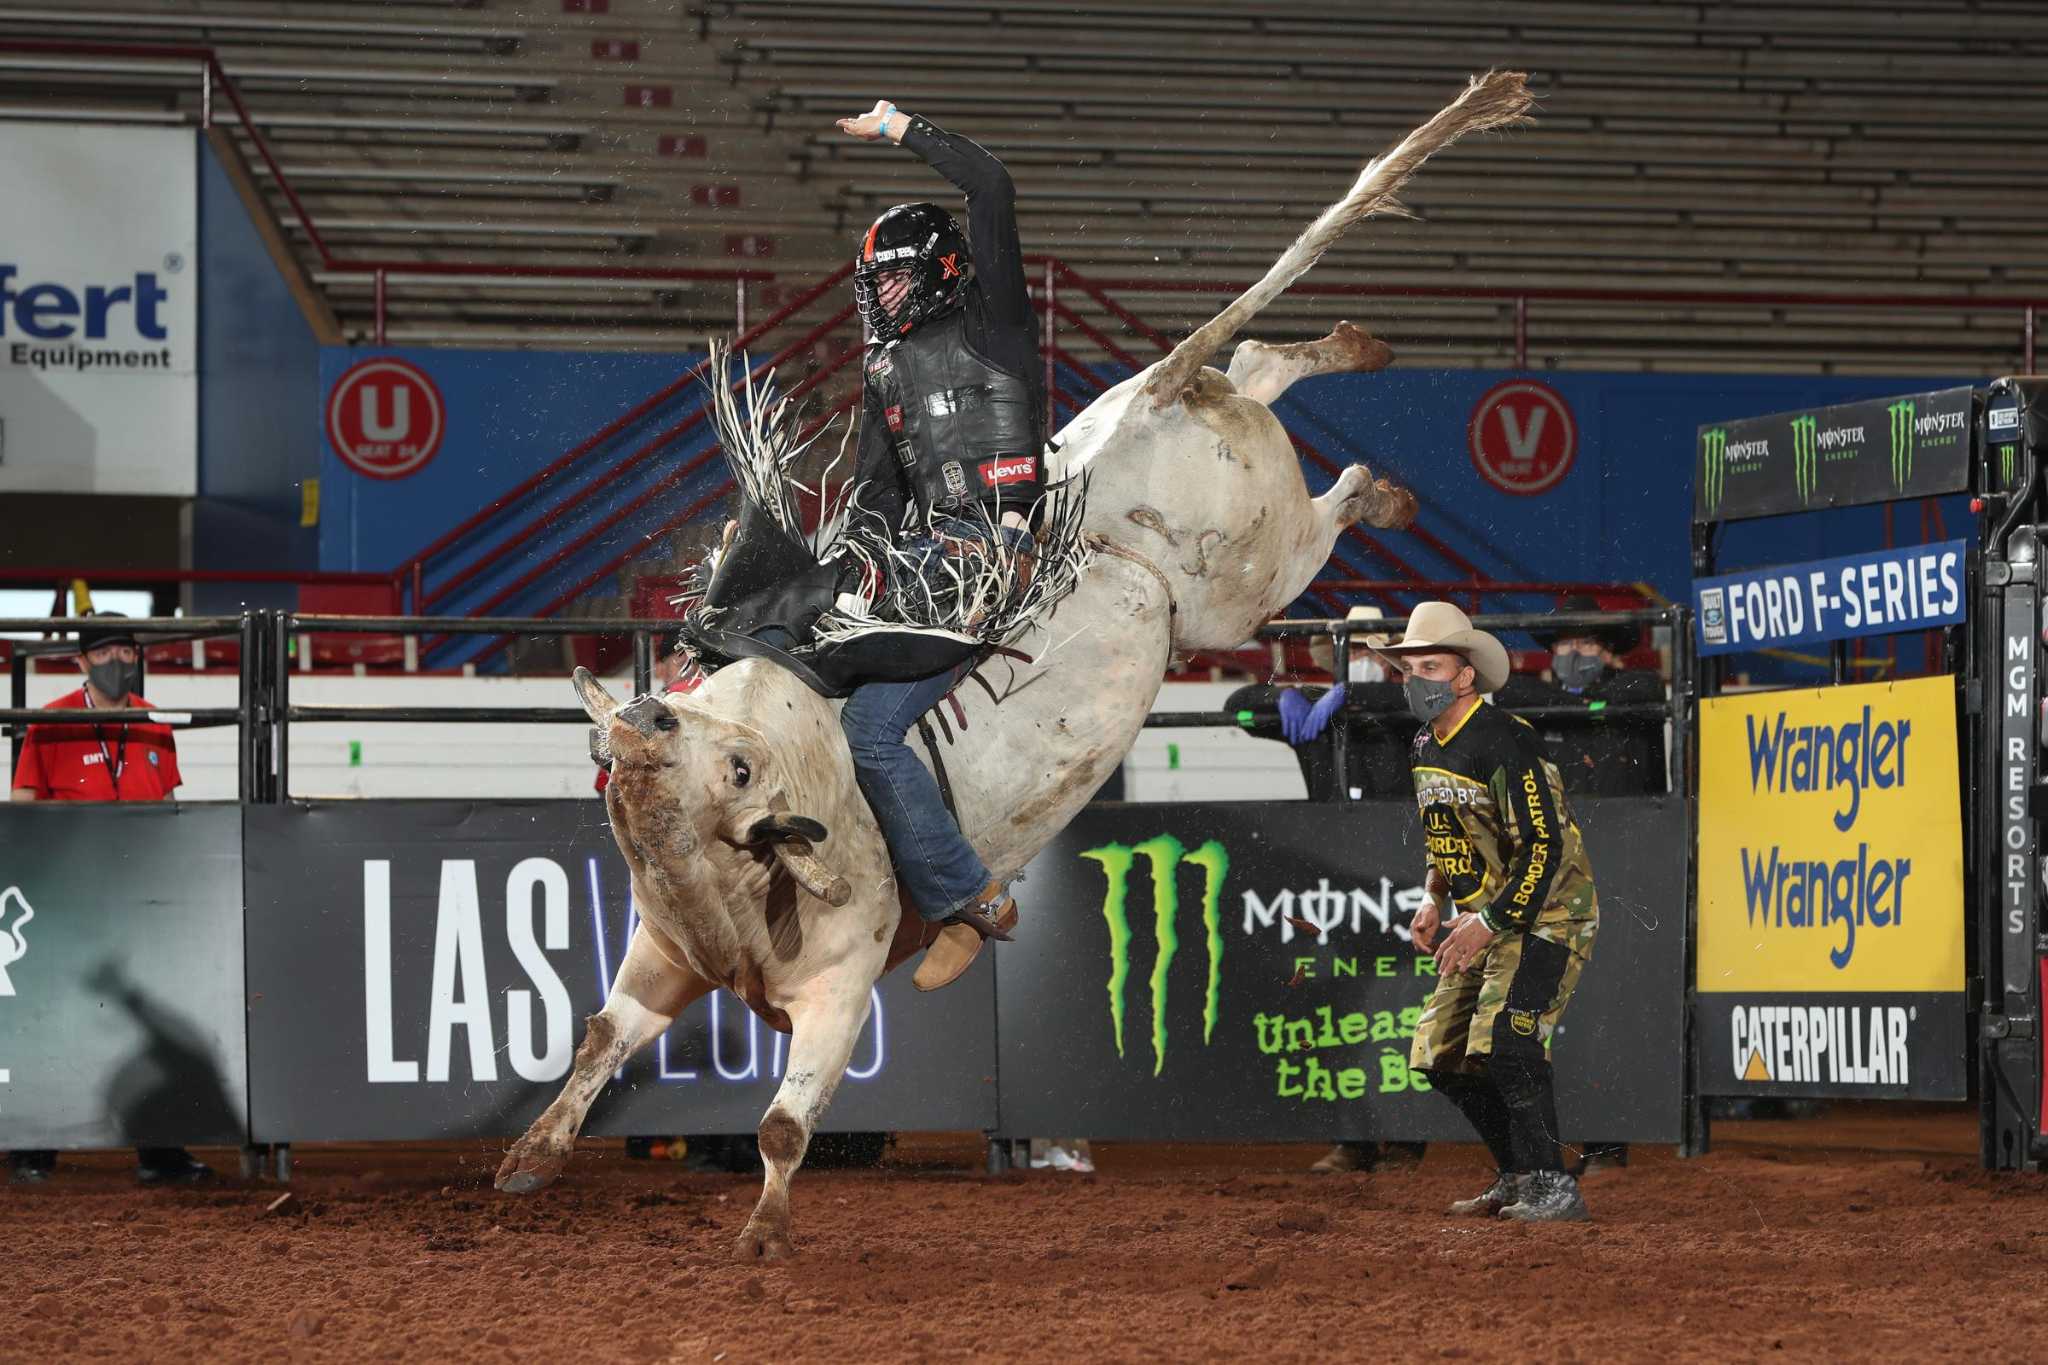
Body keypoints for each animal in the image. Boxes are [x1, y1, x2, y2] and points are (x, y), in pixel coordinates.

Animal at [491, 72, 1523, 1260]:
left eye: (737, 770)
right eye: (614, 759)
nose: (641, 721)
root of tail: (1147, 407)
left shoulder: (843, 987)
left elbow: (785, 1123)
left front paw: (761, 1234)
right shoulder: (662, 958)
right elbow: (596, 1038)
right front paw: (528, 1159)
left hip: (1246, 575)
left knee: (1332, 485)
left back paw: (1381, 472)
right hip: (1229, 491)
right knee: (1256, 370)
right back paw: (1349, 347)